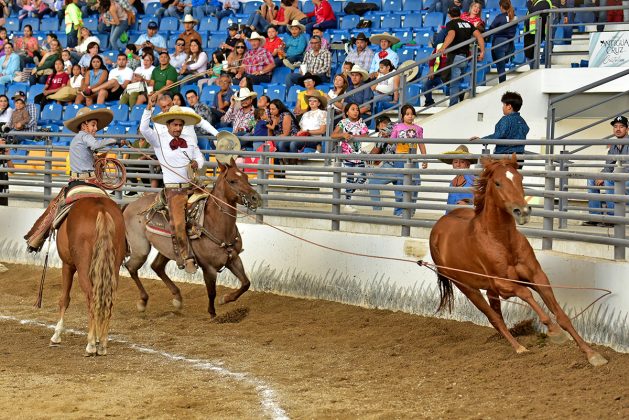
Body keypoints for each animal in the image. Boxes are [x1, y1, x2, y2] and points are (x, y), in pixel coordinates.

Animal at [51, 194, 127, 354]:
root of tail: (101, 210)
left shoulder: (67, 265)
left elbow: (64, 299)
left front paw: (56, 334)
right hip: (114, 268)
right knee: (108, 299)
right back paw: (102, 343)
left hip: (83, 268)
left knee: (91, 298)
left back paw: (91, 344)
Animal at [121, 159, 262, 316]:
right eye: (232, 180)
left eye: (246, 177)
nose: (255, 198)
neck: (215, 224)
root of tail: (129, 205)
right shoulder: (209, 268)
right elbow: (211, 292)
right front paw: (212, 314)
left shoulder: (233, 259)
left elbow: (246, 283)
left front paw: (225, 299)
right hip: (141, 249)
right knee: (131, 267)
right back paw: (143, 301)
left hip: (168, 249)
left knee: (156, 266)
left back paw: (177, 297)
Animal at [430, 156, 604, 366]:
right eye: (497, 183)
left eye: (520, 179)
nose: (522, 211)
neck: (502, 241)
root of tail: (437, 230)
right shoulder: (504, 285)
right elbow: (526, 294)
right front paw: (554, 331)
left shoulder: (537, 276)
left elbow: (561, 315)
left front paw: (591, 353)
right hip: (467, 287)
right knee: (494, 318)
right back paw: (519, 347)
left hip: (489, 290)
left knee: (498, 315)